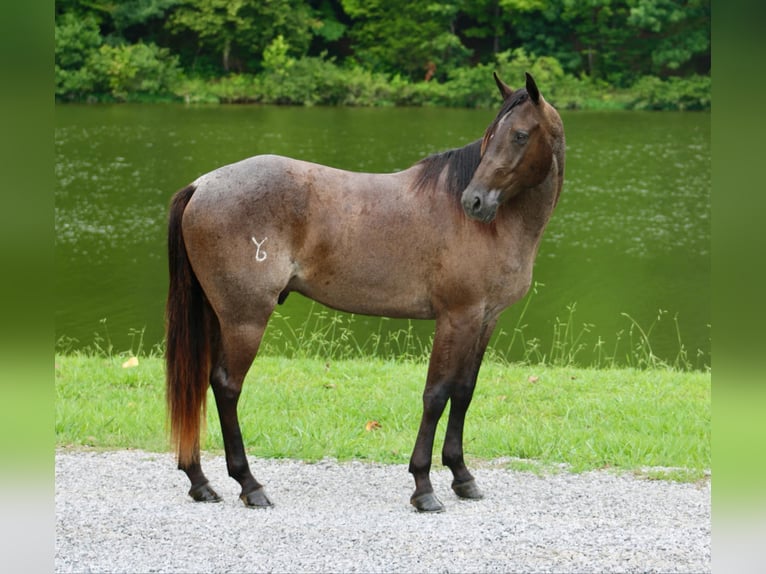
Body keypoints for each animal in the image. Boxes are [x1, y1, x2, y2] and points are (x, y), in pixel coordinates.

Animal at [166, 72, 564, 512]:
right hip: (245, 320)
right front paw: (423, 486)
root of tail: (201, 185)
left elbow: (463, 392)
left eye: (520, 135)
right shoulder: (457, 318)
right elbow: (436, 395)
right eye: (492, 135)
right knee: (226, 386)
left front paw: (462, 476)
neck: (494, 226)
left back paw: (200, 481)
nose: (474, 201)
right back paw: (249, 484)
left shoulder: (484, 319)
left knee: (198, 384)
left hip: (217, 316)